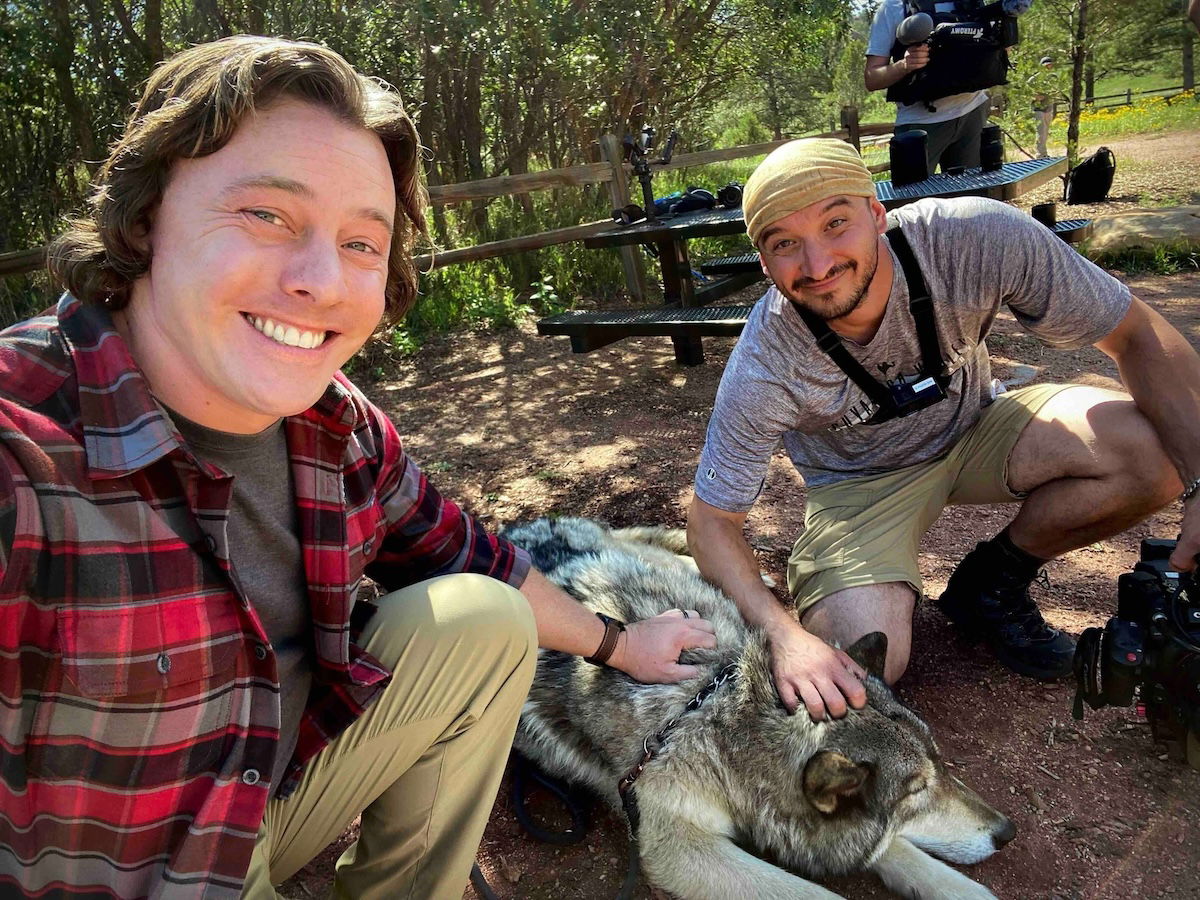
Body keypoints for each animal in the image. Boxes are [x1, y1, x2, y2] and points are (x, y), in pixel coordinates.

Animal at [501, 518, 1017, 897]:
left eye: (941, 765)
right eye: (917, 792)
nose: (1006, 832)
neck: (711, 712)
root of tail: (516, 528)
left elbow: (898, 850)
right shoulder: (676, 846)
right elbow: (821, 889)